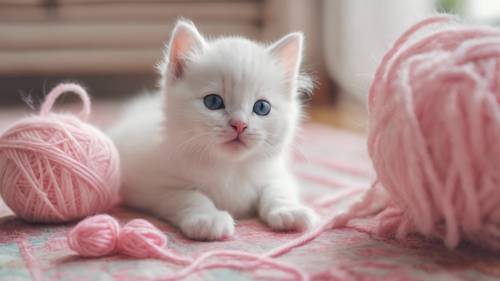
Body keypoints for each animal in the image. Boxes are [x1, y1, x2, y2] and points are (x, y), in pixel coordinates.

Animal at [110, 19, 320, 240]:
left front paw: (289, 210)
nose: (239, 124)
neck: (229, 169)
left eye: (262, 107)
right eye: (213, 102)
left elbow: (278, 190)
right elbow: (190, 196)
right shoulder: (155, 187)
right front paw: (208, 218)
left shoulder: (277, 173)